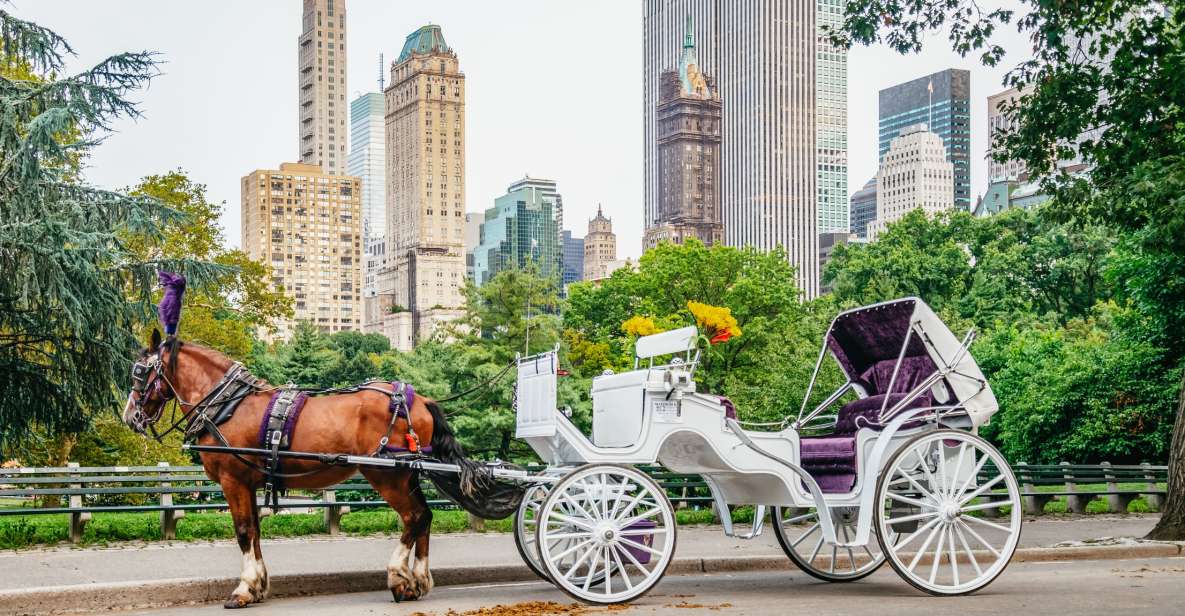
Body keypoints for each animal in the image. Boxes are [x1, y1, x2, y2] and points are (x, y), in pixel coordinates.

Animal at [123, 329, 485, 606]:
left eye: (140, 372)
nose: (130, 417)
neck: (228, 406)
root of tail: (420, 399)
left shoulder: (233, 479)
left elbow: (243, 531)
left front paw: (244, 588)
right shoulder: (250, 483)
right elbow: (255, 531)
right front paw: (258, 585)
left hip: (387, 474)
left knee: (415, 517)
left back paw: (398, 576)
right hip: (407, 473)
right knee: (425, 517)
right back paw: (419, 579)